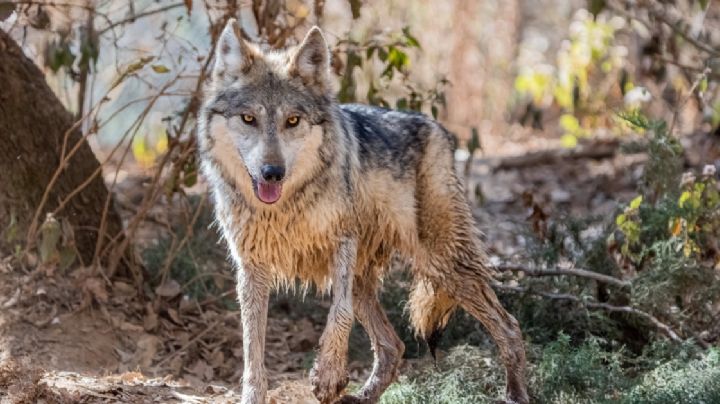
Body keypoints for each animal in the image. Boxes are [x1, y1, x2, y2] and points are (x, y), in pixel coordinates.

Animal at [197, 19, 529, 404]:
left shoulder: (343, 240)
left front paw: (328, 375)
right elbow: (252, 346)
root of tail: (439, 128)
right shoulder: (253, 266)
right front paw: (255, 394)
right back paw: (362, 395)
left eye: (292, 121)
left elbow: (338, 313)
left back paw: (516, 393)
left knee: (509, 326)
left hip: (442, 264)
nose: (272, 173)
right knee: (394, 345)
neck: (286, 207)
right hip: (371, 280)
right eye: (248, 118)